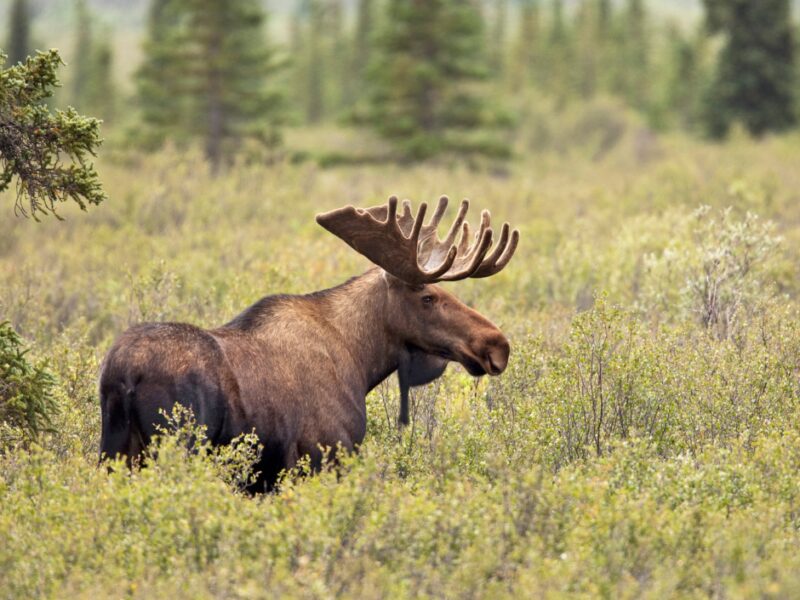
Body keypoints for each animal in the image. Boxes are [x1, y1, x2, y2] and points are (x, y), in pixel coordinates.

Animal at [98, 197, 520, 492]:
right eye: (428, 297)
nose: (496, 344)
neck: (361, 360)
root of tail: (124, 374)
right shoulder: (325, 455)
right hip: (178, 447)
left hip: (114, 449)